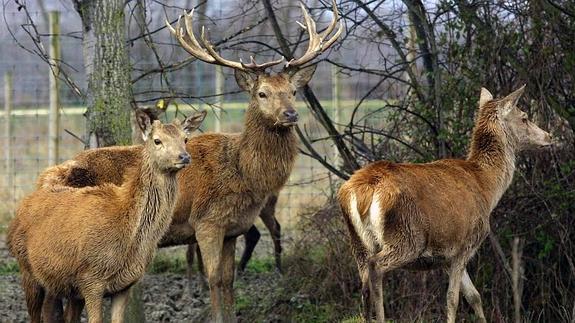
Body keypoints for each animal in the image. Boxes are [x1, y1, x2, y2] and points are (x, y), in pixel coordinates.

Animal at [7, 112, 205, 323]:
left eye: (185, 139)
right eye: (157, 140)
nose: (184, 156)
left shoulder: (125, 284)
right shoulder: (91, 279)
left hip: (59, 282)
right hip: (27, 269)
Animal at [338, 86, 552, 323]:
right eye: (524, 117)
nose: (549, 136)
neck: (486, 188)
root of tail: (362, 191)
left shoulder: (445, 258)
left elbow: (474, 296)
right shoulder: (464, 243)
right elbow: (453, 299)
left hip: (358, 242)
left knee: (364, 279)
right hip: (407, 236)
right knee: (376, 268)